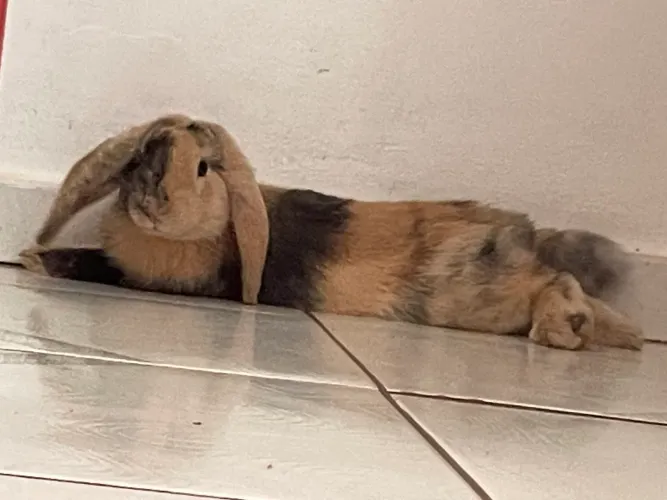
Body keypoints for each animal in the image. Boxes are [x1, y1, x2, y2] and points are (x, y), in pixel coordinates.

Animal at [19, 113, 643, 351]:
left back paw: (563, 328)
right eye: (138, 160)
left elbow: (99, 264)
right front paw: (32, 254)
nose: (152, 204)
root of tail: (523, 234)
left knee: (555, 283)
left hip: (472, 295)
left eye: (201, 168)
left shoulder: (173, 279)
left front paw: (33, 258)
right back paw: (613, 333)